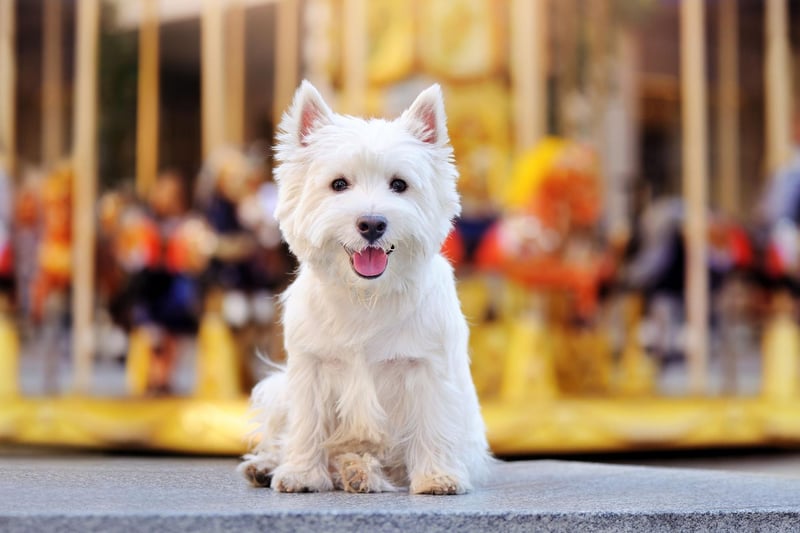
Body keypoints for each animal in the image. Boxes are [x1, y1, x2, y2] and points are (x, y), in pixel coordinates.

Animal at [238, 80, 490, 494]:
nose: (372, 223)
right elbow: (306, 425)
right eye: (339, 184)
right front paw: (302, 475)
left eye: (399, 185)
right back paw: (270, 466)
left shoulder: (427, 367)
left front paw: (437, 477)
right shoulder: (310, 368)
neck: (366, 296)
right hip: (277, 389)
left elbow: (432, 425)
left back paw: (358, 471)